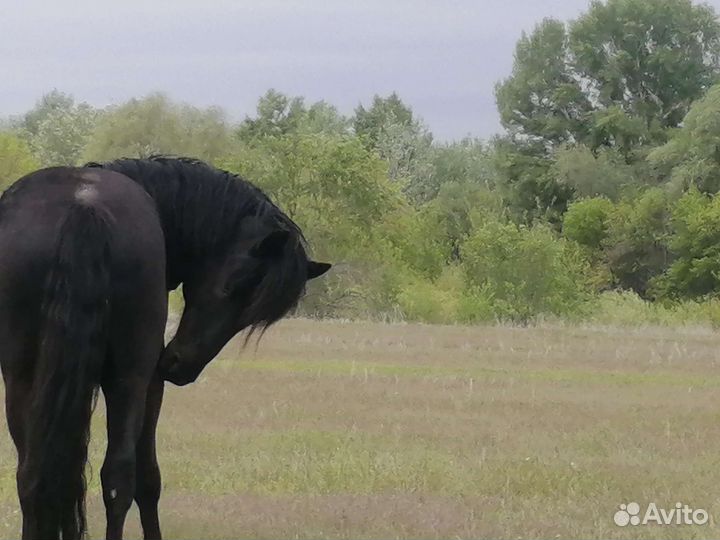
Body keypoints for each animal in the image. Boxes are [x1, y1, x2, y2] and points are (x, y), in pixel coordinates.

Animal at [0, 157, 331, 540]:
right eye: (232, 286)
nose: (179, 365)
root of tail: (84, 206)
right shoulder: (151, 383)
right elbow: (146, 479)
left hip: (63, 380)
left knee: (61, 476)